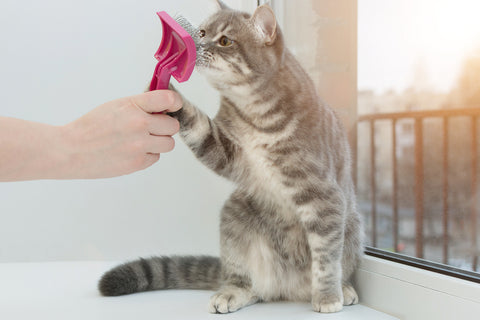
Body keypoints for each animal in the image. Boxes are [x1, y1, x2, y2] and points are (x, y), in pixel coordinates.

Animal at [99, 1, 362, 314]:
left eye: (225, 41)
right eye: (201, 32)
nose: (198, 44)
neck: (254, 109)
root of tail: (290, 288)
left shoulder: (323, 196)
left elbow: (326, 255)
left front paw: (327, 295)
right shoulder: (227, 151)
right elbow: (199, 128)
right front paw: (168, 93)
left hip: (352, 226)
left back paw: (344, 288)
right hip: (235, 219)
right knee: (248, 282)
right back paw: (233, 292)